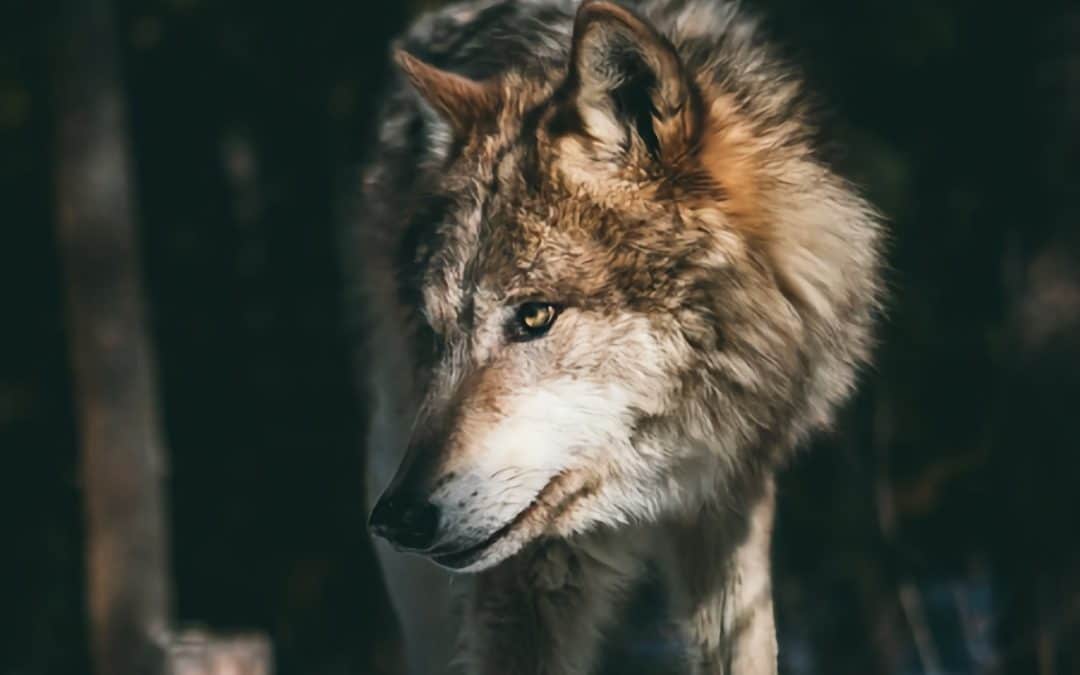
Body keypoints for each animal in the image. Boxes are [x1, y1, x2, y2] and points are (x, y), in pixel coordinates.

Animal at [354, 0, 883, 673]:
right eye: (436, 332)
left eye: (535, 316)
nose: (396, 520)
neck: (649, 483)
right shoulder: (527, 576)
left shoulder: (730, 505)